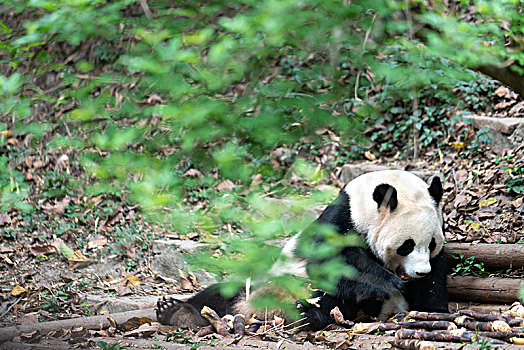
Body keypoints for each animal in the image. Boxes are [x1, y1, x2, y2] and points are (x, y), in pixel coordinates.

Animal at [158, 170, 448, 330]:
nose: (420, 271)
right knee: (220, 294)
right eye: (407, 245)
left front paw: (432, 308)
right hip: (267, 281)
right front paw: (387, 283)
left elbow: (434, 283)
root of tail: (250, 310)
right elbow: (330, 263)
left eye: (431, 244)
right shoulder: (341, 219)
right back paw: (177, 312)